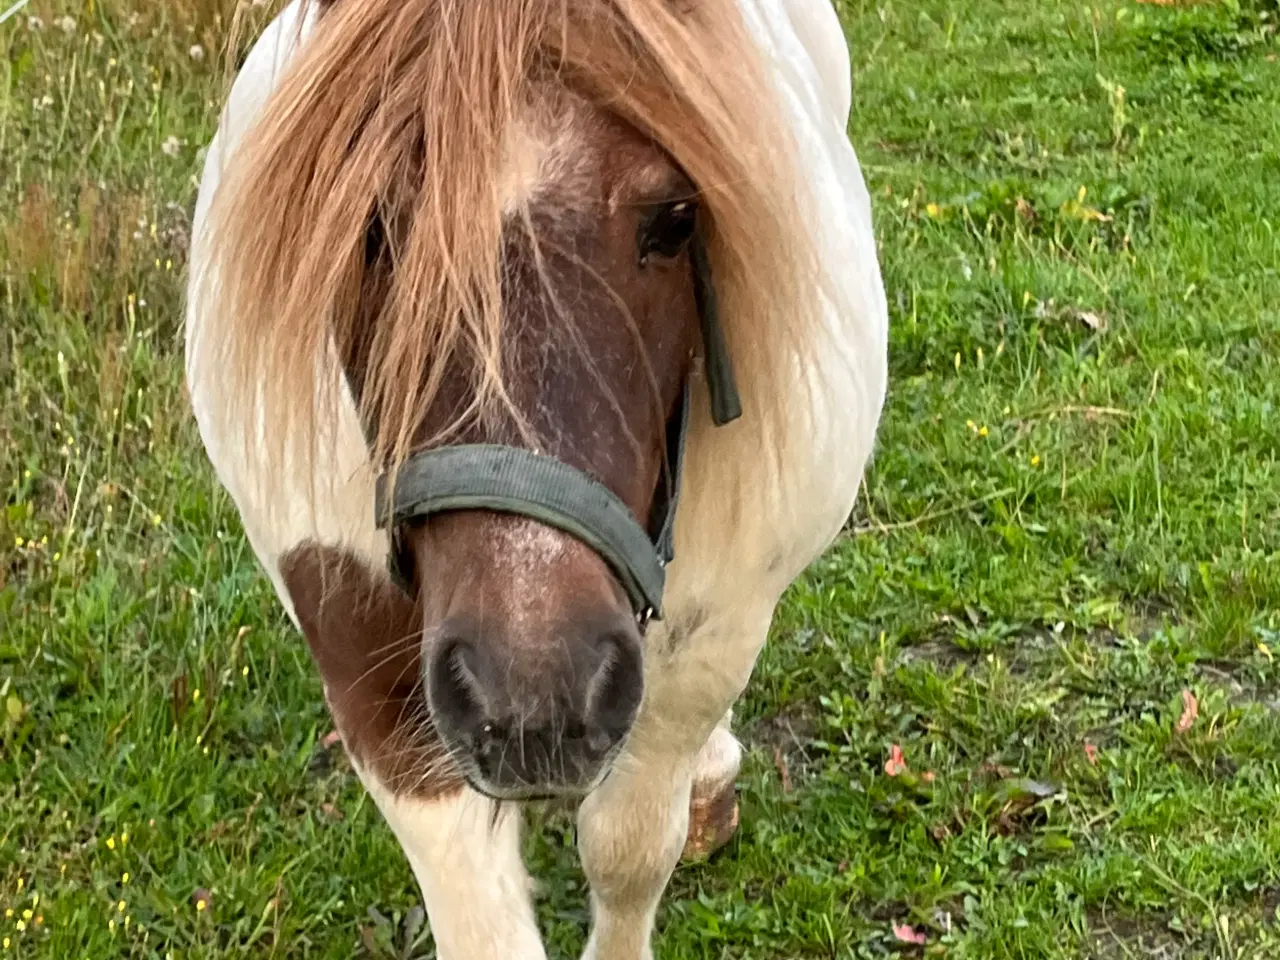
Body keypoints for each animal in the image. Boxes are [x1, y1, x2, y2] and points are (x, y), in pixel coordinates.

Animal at [185, 0, 890, 957]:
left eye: (675, 221)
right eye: (369, 224)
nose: (535, 693)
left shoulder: (712, 634)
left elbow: (630, 848)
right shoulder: (363, 655)